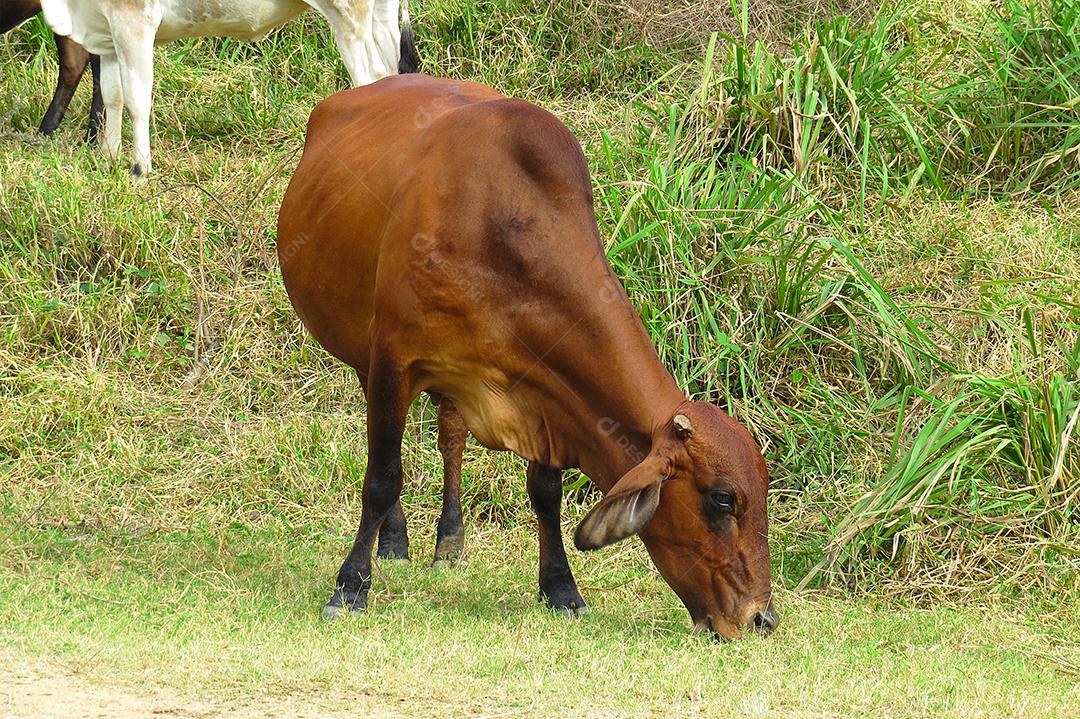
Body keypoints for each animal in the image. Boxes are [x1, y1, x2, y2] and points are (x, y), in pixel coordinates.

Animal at [39, 0, 416, 178]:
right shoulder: (106, 30)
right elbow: (113, 95)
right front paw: (108, 158)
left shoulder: (134, 20)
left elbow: (136, 98)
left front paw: (139, 169)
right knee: (391, 72)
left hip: (347, 15)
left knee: (369, 78)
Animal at [278, 75, 781, 634]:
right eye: (722, 499)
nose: (762, 618)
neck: (501, 231)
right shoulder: (392, 360)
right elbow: (383, 477)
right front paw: (350, 587)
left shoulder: (545, 395)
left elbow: (545, 491)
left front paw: (560, 587)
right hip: (367, 359)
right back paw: (394, 540)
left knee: (450, 435)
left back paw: (449, 539)